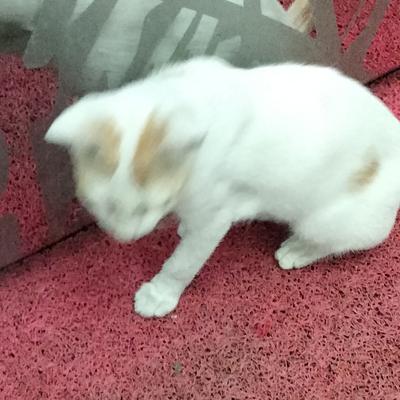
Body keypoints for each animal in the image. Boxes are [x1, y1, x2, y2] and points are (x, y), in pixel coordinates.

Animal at [45, 56, 400, 318]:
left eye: (147, 207)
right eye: (104, 206)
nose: (126, 236)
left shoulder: (215, 214)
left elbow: (183, 262)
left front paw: (159, 295)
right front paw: (182, 228)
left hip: (330, 219)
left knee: (343, 239)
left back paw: (298, 249)